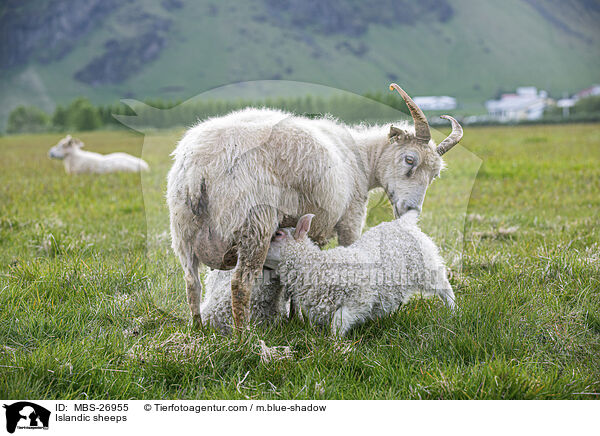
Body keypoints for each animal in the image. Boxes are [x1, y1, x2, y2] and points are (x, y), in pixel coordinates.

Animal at [264, 213, 454, 336]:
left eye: (278, 234)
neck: (316, 265)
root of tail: (403, 222)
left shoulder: (359, 299)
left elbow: (338, 322)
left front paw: (335, 345)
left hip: (427, 267)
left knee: (445, 287)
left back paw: (453, 310)